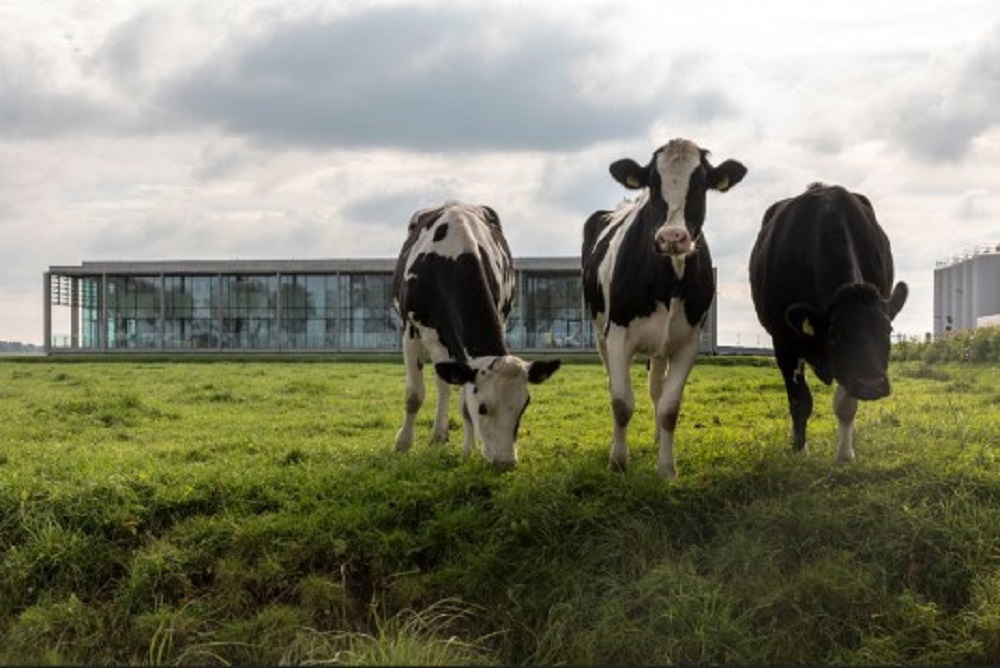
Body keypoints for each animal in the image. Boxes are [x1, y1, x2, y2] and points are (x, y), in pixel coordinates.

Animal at [390, 201, 564, 468]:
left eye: (523, 407)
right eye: (483, 408)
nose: (505, 462)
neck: (454, 253)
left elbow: (463, 403)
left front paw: (467, 451)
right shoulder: (410, 329)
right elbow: (414, 395)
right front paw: (402, 444)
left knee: (444, 383)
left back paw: (439, 433)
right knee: (441, 383)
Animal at [584, 138, 748, 478]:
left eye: (700, 184)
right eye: (653, 183)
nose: (672, 236)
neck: (668, 280)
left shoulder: (688, 342)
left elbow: (670, 408)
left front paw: (667, 469)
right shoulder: (618, 334)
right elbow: (621, 402)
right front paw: (618, 462)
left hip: (661, 343)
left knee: (656, 390)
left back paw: (658, 438)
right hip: (600, 333)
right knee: (613, 384)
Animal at [748, 184, 912, 464]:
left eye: (888, 330)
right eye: (835, 333)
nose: (872, 385)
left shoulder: (851, 365)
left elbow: (846, 403)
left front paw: (845, 454)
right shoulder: (784, 342)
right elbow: (799, 401)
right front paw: (800, 451)